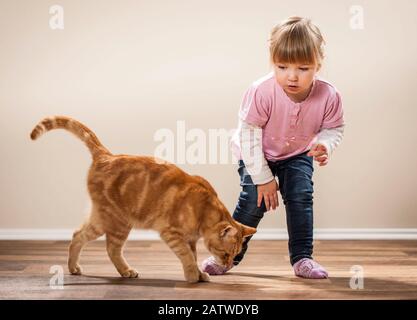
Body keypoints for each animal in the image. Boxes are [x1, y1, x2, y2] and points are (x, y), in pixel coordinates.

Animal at [29, 115, 255, 282]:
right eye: (225, 254)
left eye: (235, 255)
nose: (227, 265)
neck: (203, 209)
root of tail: (106, 155)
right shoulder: (171, 233)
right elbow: (187, 256)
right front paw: (193, 275)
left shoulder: (190, 239)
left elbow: (193, 255)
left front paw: (200, 274)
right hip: (114, 221)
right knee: (106, 246)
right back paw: (118, 270)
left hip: (106, 220)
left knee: (79, 235)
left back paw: (79, 268)